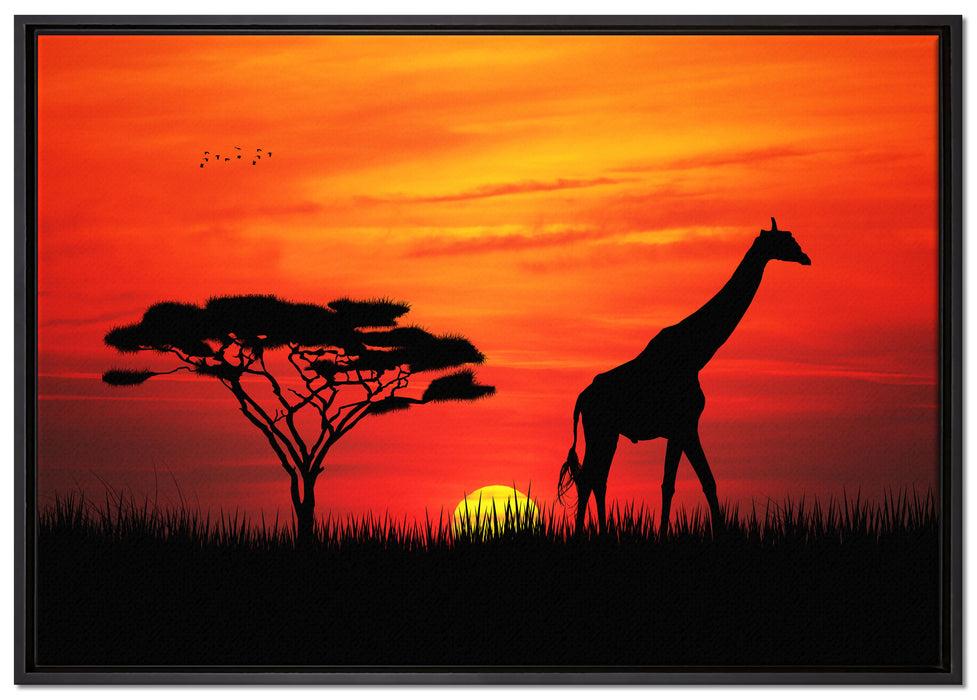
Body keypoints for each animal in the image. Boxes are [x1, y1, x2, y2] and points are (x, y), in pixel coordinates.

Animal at [558, 218, 810, 536]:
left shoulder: (682, 428)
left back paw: (602, 532)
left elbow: (691, 483)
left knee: (597, 479)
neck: (697, 354)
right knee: (588, 479)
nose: (805, 257)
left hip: (608, 433)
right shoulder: (685, 425)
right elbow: (688, 483)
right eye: (785, 240)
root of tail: (582, 398)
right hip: (600, 430)